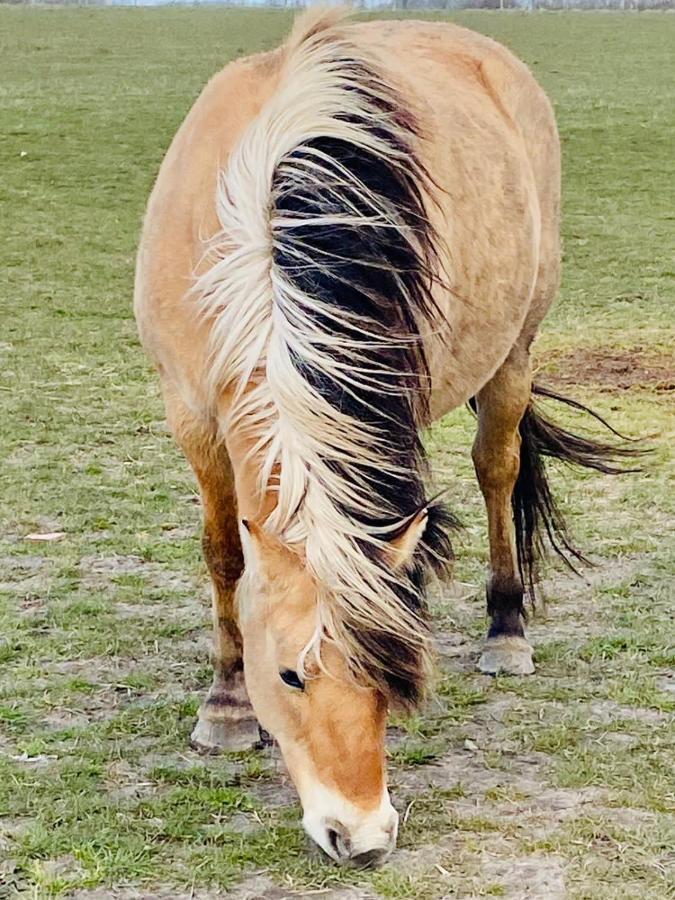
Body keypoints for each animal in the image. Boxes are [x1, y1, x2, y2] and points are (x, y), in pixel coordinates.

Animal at [133, 7, 632, 864]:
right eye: (287, 676)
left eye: (390, 676)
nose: (360, 835)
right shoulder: (191, 411)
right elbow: (225, 555)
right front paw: (226, 707)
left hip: (513, 348)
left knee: (496, 469)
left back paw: (506, 630)